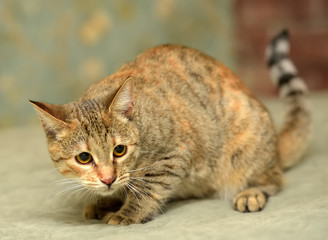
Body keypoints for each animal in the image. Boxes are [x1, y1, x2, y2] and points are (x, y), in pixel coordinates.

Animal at [30, 30, 310, 225]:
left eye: (119, 150)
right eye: (84, 157)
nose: (108, 179)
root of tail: (276, 147)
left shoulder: (173, 155)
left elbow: (148, 189)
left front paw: (127, 212)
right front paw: (106, 201)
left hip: (246, 148)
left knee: (274, 179)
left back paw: (251, 193)